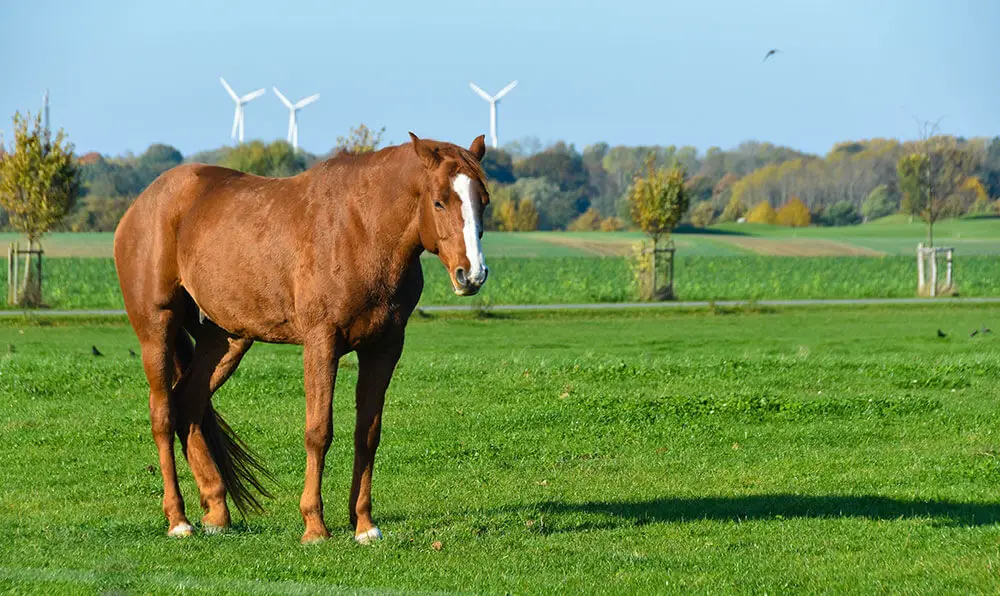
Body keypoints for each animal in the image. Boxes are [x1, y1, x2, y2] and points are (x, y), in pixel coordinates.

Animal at [113, 133, 489, 544]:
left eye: (483, 201)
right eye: (439, 200)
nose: (471, 274)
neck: (362, 230)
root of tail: (144, 203)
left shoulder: (384, 348)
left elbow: (368, 434)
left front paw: (364, 525)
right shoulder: (321, 343)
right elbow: (318, 431)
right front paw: (314, 525)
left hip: (227, 339)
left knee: (189, 405)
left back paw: (216, 513)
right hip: (157, 330)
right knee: (163, 414)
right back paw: (178, 519)